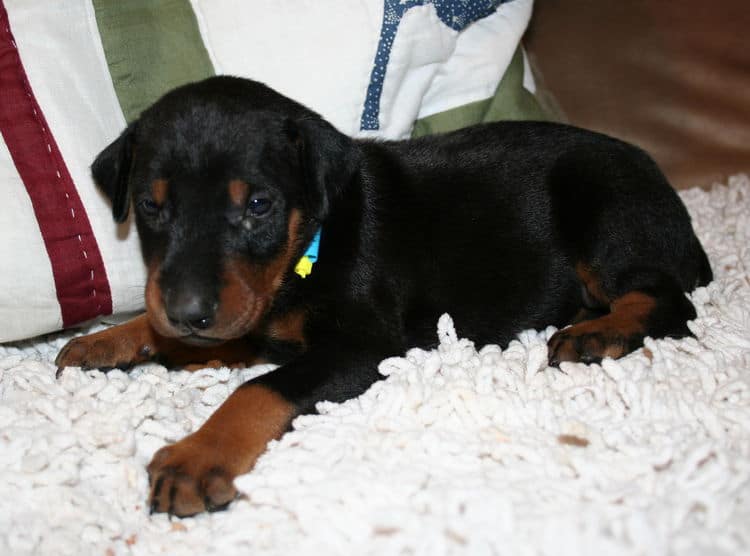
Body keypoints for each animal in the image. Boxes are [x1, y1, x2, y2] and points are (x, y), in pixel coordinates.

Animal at [55, 77, 712, 516]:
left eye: (259, 205)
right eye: (151, 206)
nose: (188, 313)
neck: (311, 240)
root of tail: (667, 192)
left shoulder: (364, 344)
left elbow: (257, 390)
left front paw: (198, 456)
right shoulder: (253, 318)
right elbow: (213, 339)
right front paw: (114, 340)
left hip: (604, 205)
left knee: (667, 297)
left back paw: (598, 332)